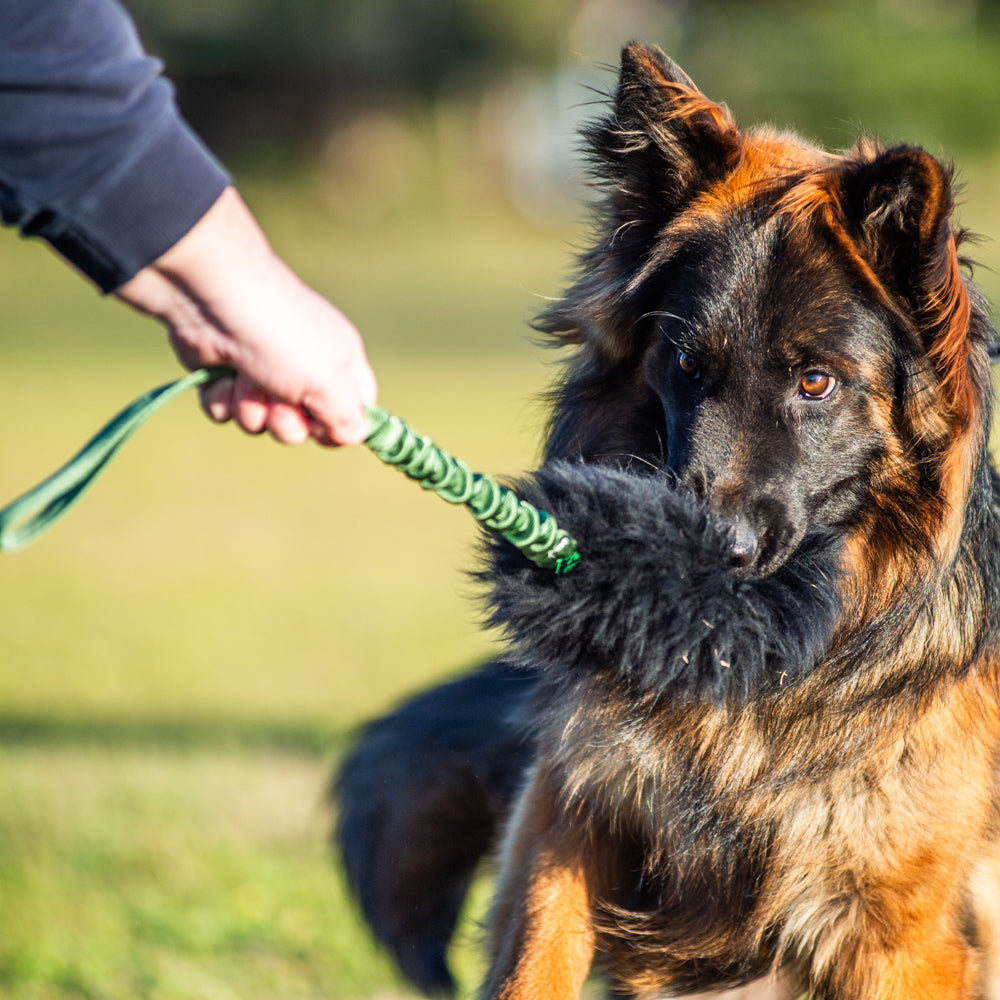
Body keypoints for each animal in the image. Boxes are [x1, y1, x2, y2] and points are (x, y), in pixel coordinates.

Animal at [334, 45, 1000, 1000]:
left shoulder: (903, 935)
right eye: (686, 362)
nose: (702, 557)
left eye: (817, 382)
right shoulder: (568, 815)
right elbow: (532, 963)